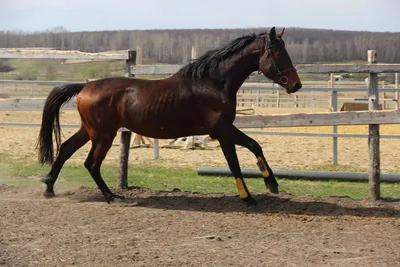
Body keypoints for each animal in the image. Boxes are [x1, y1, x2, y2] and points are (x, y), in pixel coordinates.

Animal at [37, 27, 302, 206]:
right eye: (277, 51)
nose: (296, 85)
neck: (213, 82)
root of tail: (85, 86)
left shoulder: (224, 130)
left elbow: (252, 147)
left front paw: (270, 185)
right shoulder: (222, 131)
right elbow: (238, 159)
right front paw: (252, 195)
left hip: (90, 131)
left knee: (66, 149)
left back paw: (49, 187)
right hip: (103, 135)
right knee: (91, 163)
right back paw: (112, 196)